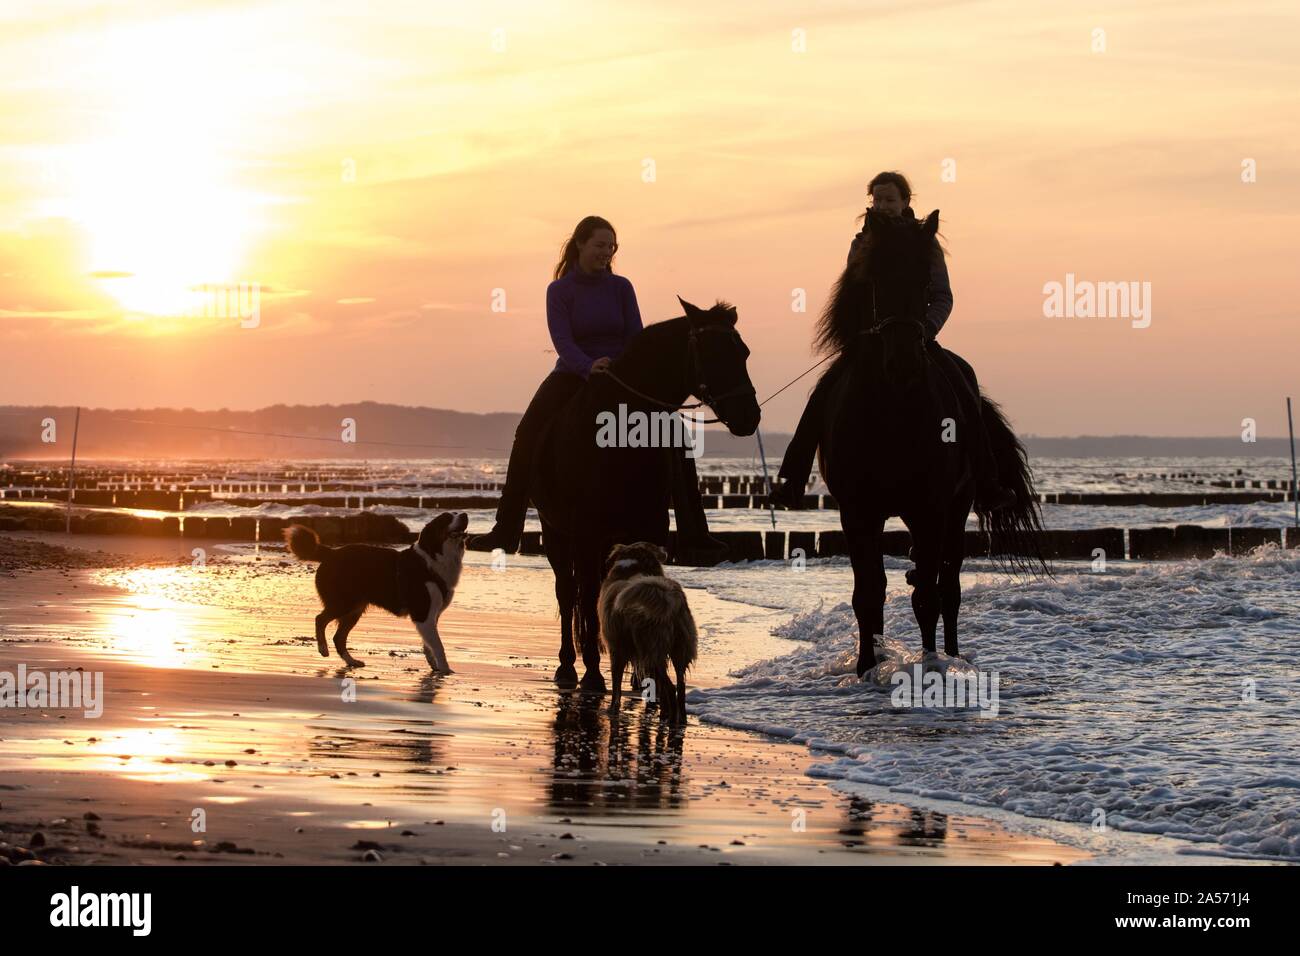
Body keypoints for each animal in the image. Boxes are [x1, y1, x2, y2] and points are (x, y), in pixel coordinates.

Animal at [282, 515, 470, 671]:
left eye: (456, 513)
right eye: (446, 518)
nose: (464, 514)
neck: (433, 558)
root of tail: (331, 553)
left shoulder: (431, 616)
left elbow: (428, 645)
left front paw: (435, 667)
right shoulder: (423, 613)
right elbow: (438, 646)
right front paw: (446, 670)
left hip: (354, 609)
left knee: (338, 637)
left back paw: (352, 661)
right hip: (343, 603)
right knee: (320, 619)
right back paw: (323, 649)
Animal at [530, 295, 759, 691]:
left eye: (742, 352)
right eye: (712, 351)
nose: (750, 416)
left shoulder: (648, 526)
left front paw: (643, 675)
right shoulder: (586, 534)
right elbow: (586, 597)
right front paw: (593, 673)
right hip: (556, 532)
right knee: (568, 591)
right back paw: (568, 667)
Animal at [811, 210, 1045, 676]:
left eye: (924, 281)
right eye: (876, 279)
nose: (902, 362)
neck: (893, 410)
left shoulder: (930, 508)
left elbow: (928, 597)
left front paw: (930, 663)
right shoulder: (857, 512)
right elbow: (869, 593)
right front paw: (867, 666)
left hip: (955, 511)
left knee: (948, 587)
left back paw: (952, 656)